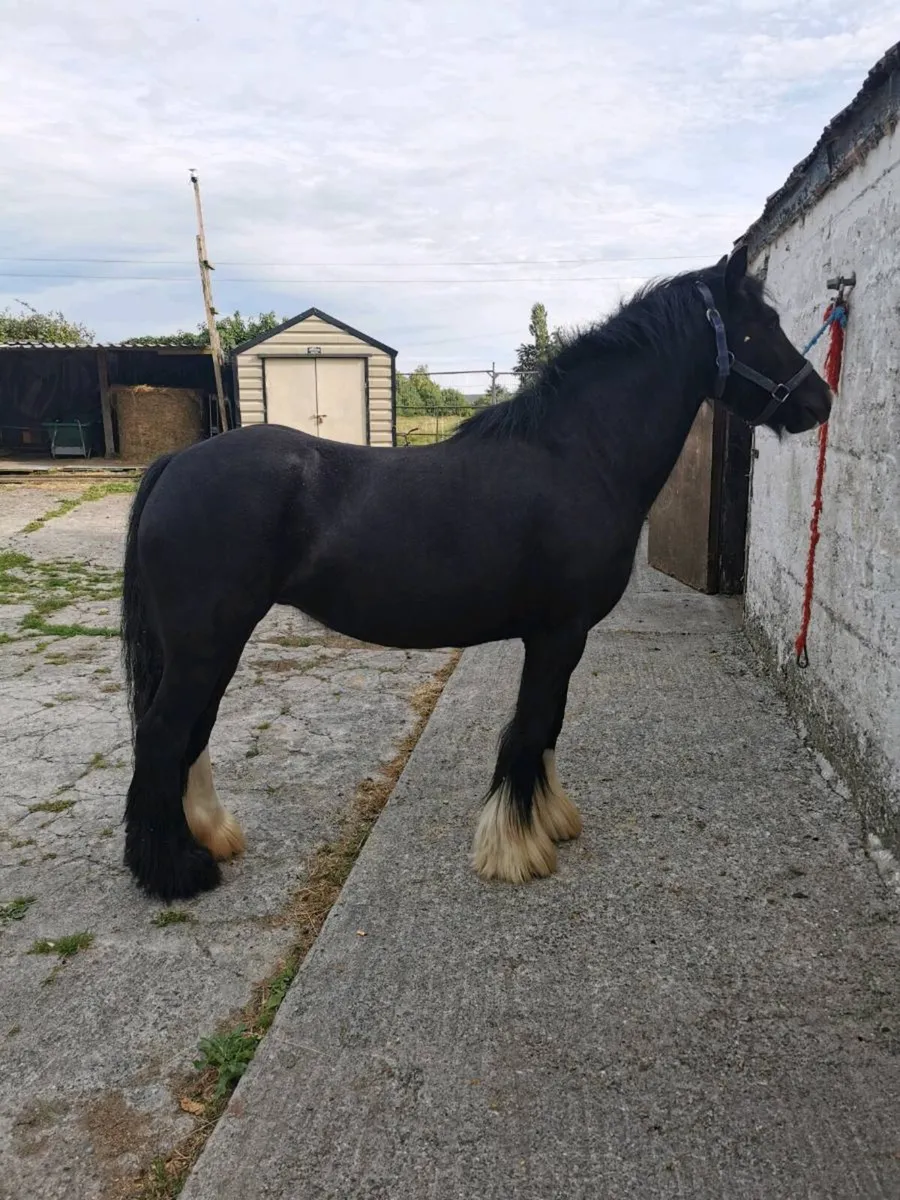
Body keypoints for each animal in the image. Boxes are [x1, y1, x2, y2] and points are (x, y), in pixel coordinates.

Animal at [120, 246, 832, 901]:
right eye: (760, 325)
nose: (819, 399)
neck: (580, 455)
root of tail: (177, 462)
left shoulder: (561, 639)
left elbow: (548, 726)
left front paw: (550, 820)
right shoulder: (557, 634)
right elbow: (530, 727)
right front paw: (517, 849)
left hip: (213, 644)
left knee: (190, 733)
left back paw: (208, 837)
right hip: (207, 642)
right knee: (162, 733)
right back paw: (176, 872)